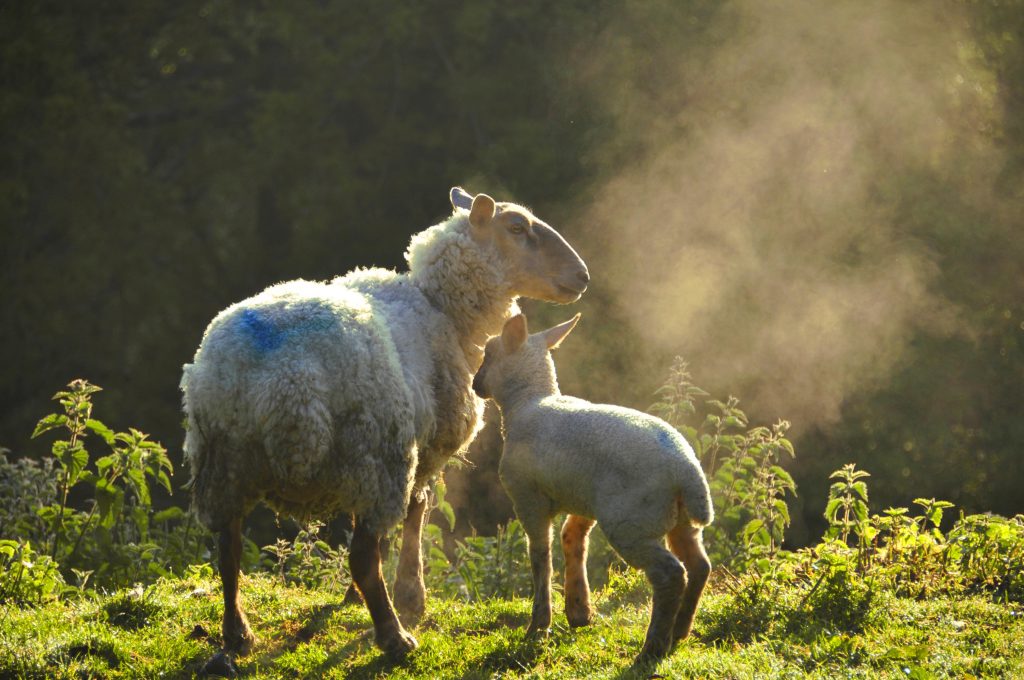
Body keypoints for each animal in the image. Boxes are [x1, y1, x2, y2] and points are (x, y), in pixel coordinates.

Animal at [180, 186, 589, 659]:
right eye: (518, 227)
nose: (582, 276)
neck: (441, 309)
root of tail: (284, 379)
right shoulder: (424, 449)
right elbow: (417, 513)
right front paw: (410, 596)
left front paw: (359, 597)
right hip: (375, 454)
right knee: (361, 553)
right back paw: (394, 635)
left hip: (224, 463)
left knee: (227, 549)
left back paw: (237, 633)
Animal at [468, 311, 712, 659]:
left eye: (488, 353)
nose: (476, 384)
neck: (527, 401)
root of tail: (687, 471)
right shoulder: (583, 498)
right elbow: (573, 538)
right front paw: (579, 611)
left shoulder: (528, 498)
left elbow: (540, 557)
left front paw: (539, 625)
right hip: (678, 519)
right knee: (699, 565)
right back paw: (679, 629)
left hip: (630, 521)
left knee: (671, 574)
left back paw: (653, 645)